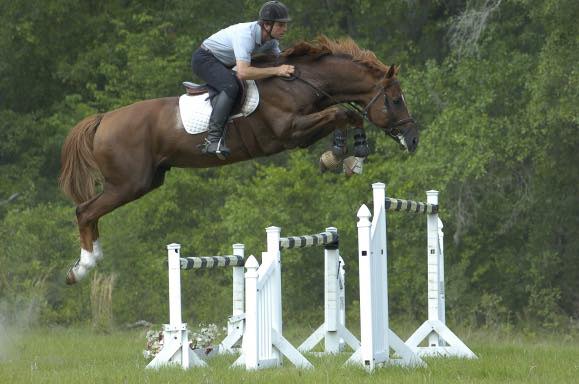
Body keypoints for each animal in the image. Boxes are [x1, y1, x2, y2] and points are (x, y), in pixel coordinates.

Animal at [61, 36, 420, 284]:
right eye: (395, 100)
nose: (413, 139)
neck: (301, 82)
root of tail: (104, 119)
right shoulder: (290, 132)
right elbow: (340, 113)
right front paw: (342, 156)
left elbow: (348, 115)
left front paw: (346, 157)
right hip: (129, 183)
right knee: (85, 211)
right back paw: (83, 267)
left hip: (147, 180)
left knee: (90, 212)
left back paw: (86, 262)